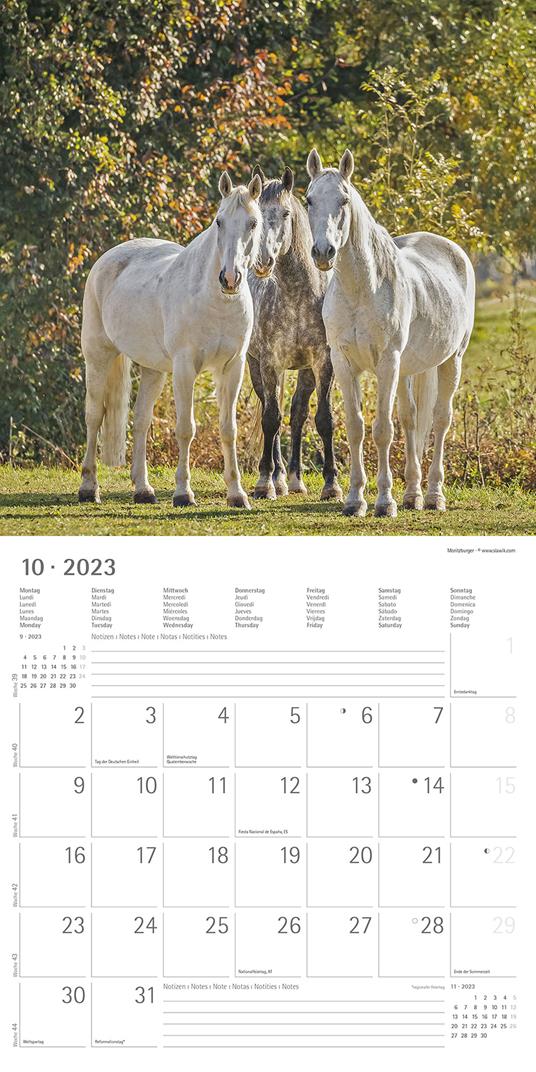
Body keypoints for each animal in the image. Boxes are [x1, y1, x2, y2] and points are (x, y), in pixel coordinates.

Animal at [78, 170, 263, 509]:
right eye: (219, 221)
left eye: (253, 223)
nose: (230, 278)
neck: (215, 302)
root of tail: (107, 259)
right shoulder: (185, 368)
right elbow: (185, 429)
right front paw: (183, 493)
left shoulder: (233, 367)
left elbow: (228, 429)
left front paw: (237, 494)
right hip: (98, 358)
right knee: (94, 416)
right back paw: (88, 487)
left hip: (153, 370)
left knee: (140, 421)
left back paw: (143, 490)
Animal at [247, 165, 342, 501]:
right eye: (256, 215)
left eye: (286, 213)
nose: (262, 261)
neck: (297, 295)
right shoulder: (269, 363)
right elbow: (271, 419)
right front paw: (265, 482)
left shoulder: (324, 363)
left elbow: (322, 419)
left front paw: (331, 484)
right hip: (256, 366)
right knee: (271, 410)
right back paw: (277, 478)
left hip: (305, 371)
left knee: (298, 413)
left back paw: (294, 479)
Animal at [305, 148, 475, 518]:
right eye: (309, 199)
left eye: (343, 200)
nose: (323, 252)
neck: (362, 289)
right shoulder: (343, 363)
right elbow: (356, 427)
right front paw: (355, 500)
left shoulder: (387, 361)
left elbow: (383, 430)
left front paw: (384, 502)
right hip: (409, 368)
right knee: (411, 419)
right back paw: (413, 494)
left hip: (450, 361)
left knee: (440, 421)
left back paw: (434, 496)